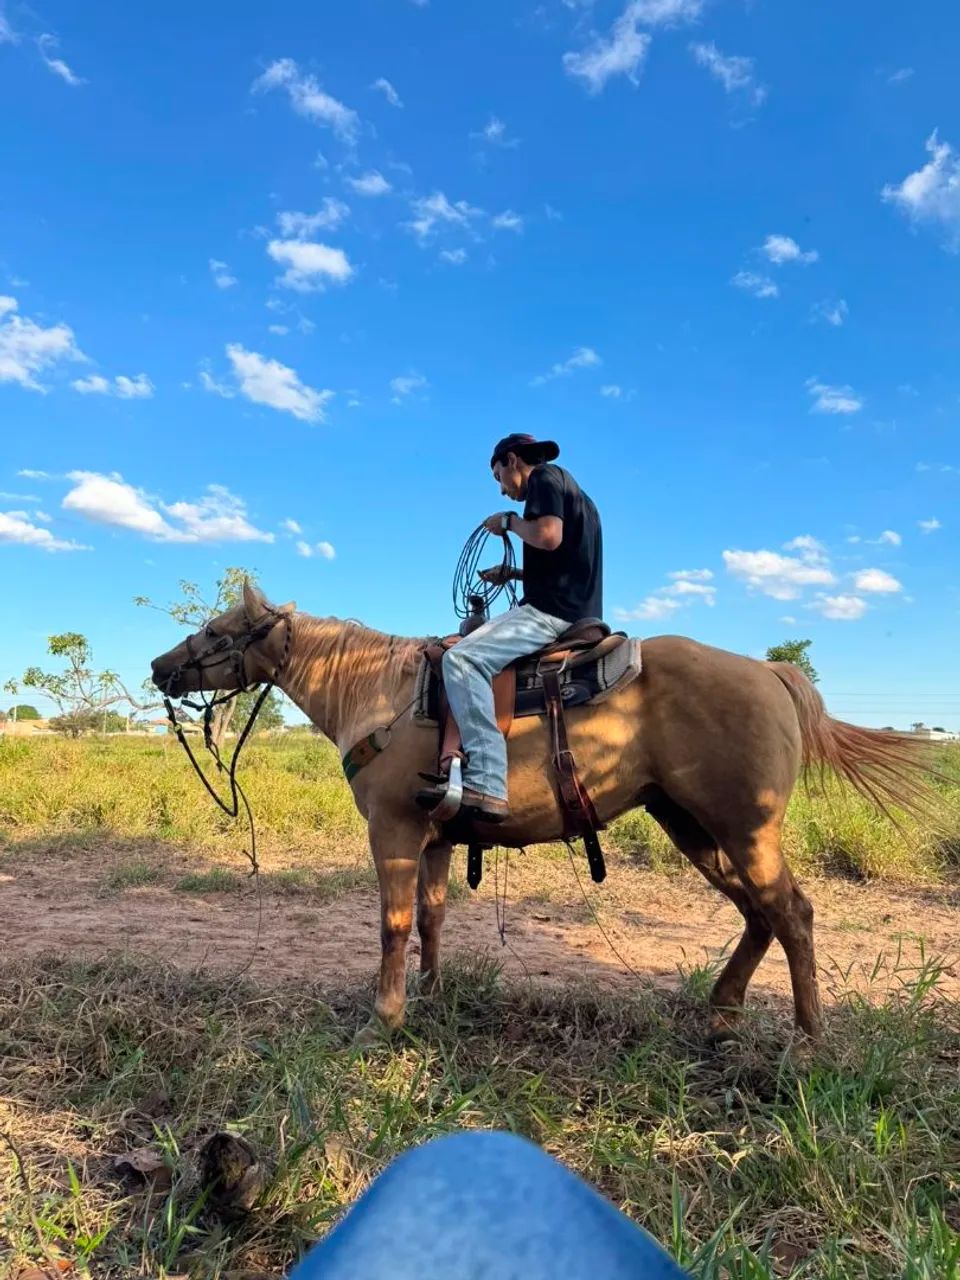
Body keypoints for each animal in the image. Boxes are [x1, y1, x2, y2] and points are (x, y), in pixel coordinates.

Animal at [150, 581, 937, 1045]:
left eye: (217, 629)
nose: (160, 669)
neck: (381, 691)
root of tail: (769, 672)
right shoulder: (436, 838)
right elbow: (432, 919)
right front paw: (431, 998)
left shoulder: (394, 831)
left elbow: (393, 924)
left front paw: (385, 1017)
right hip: (692, 826)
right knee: (758, 913)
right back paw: (721, 1013)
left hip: (745, 829)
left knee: (791, 913)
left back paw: (807, 1043)